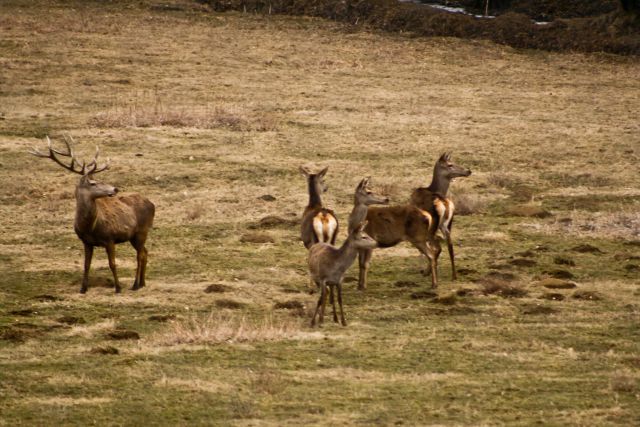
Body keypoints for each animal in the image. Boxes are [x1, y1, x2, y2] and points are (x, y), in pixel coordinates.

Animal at [32, 136, 156, 294]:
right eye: (93, 182)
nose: (115, 189)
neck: (90, 227)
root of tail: (152, 204)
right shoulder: (86, 241)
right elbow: (86, 265)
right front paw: (83, 288)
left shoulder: (110, 238)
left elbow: (112, 264)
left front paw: (118, 288)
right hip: (134, 236)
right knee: (145, 252)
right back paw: (142, 283)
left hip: (141, 231)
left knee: (140, 255)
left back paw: (135, 285)